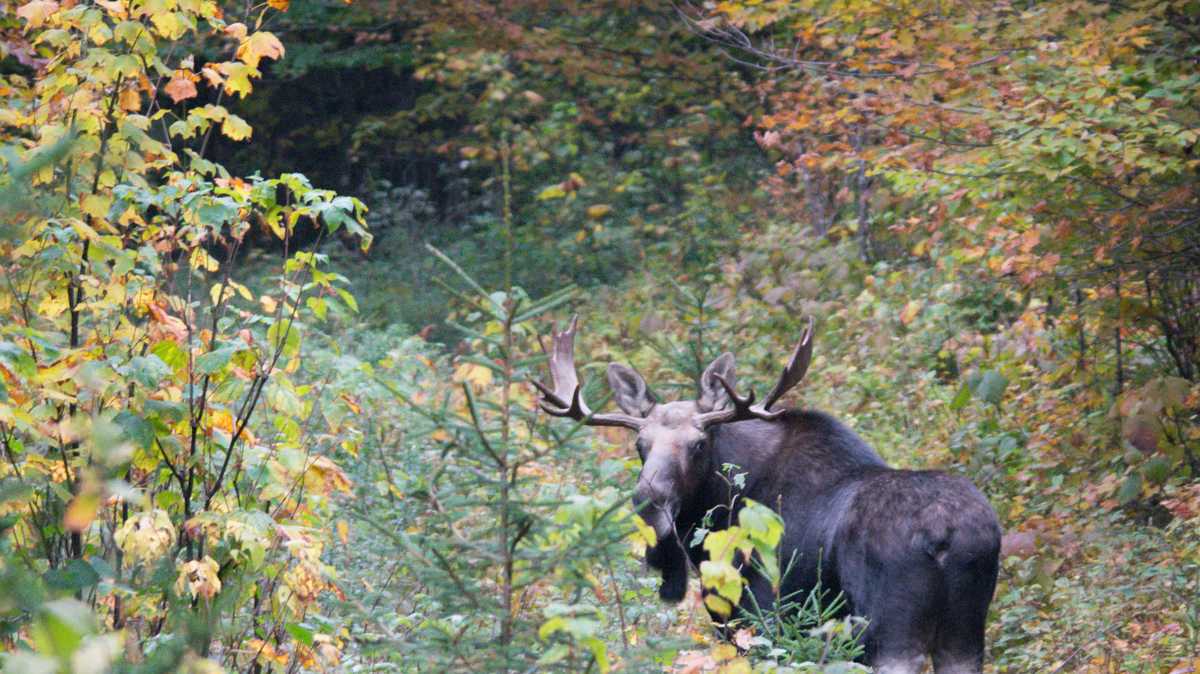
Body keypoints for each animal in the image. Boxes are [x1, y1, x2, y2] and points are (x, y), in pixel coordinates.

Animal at [533, 317, 1002, 674]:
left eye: (698, 444)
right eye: (639, 445)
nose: (649, 501)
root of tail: (944, 535)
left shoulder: (756, 611)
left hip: (889, 628)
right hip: (964, 632)